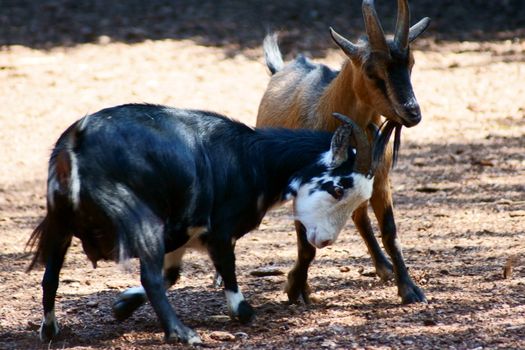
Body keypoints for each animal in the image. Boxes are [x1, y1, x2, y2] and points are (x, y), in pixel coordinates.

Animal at [26, 104, 390, 344]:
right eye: (338, 187)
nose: (325, 240)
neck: (252, 158)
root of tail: (76, 145)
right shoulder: (220, 232)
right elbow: (227, 282)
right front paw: (242, 312)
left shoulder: (183, 235)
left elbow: (171, 275)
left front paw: (121, 306)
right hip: (141, 222)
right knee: (148, 277)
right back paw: (182, 334)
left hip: (59, 226)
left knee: (50, 277)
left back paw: (50, 330)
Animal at [255, 0, 430, 304]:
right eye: (372, 72)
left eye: (411, 63)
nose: (412, 112)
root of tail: (279, 70)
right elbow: (307, 245)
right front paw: (296, 288)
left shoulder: (379, 179)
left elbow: (390, 232)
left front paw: (410, 289)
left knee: (359, 215)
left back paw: (383, 267)